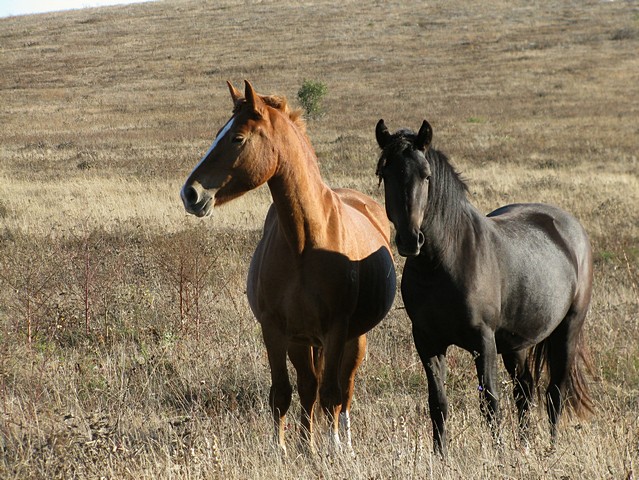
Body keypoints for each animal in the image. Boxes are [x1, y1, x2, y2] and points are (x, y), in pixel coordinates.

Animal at [180, 80, 396, 452]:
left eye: (237, 137)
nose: (190, 194)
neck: (304, 242)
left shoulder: (336, 329)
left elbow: (331, 394)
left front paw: (333, 448)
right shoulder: (275, 329)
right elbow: (283, 393)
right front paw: (283, 449)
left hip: (354, 339)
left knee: (344, 390)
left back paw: (344, 443)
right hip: (302, 340)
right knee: (309, 386)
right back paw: (305, 444)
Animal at [376, 118, 596, 456]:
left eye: (426, 175)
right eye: (385, 174)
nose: (410, 240)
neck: (443, 262)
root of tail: (570, 226)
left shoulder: (484, 340)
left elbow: (489, 401)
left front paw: (498, 455)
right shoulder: (427, 341)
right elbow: (437, 403)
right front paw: (441, 456)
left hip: (567, 329)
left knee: (554, 393)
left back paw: (550, 449)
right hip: (516, 343)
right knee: (524, 391)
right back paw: (525, 445)